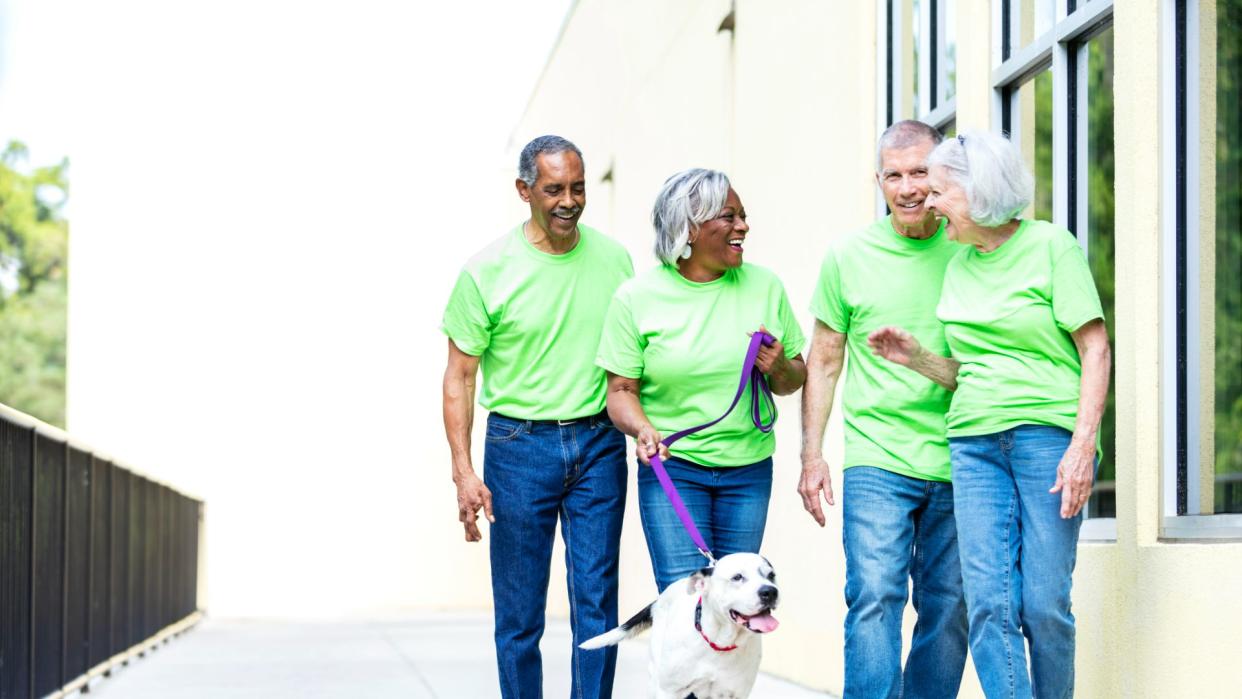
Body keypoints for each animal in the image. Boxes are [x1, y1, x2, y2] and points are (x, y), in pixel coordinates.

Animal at [578, 553, 775, 699]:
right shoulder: (669, 691)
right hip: (655, 678)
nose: (770, 591)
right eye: (737, 577)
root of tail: (659, 600)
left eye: (771, 576)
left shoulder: (734, 693)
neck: (718, 642)